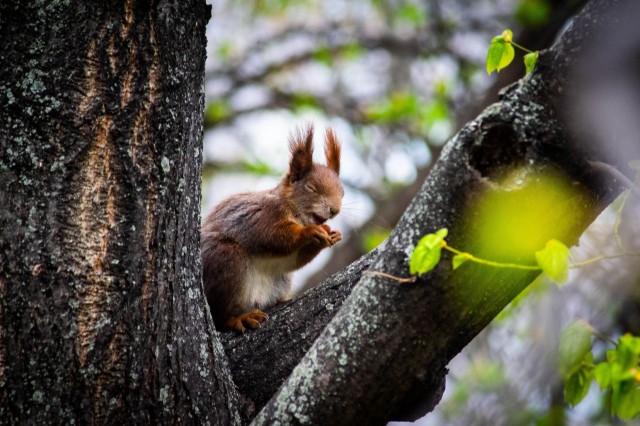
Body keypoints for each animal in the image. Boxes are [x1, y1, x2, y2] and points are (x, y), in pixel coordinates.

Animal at [202, 125, 344, 334]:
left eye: (342, 192)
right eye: (311, 188)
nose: (335, 210)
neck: (294, 212)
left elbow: (291, 260)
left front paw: (332, 236)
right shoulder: (262, 217)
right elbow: (272, 237)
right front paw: (309, 233)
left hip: (280, 281)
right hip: (226, 261)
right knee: (219, 316)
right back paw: (238, 319)